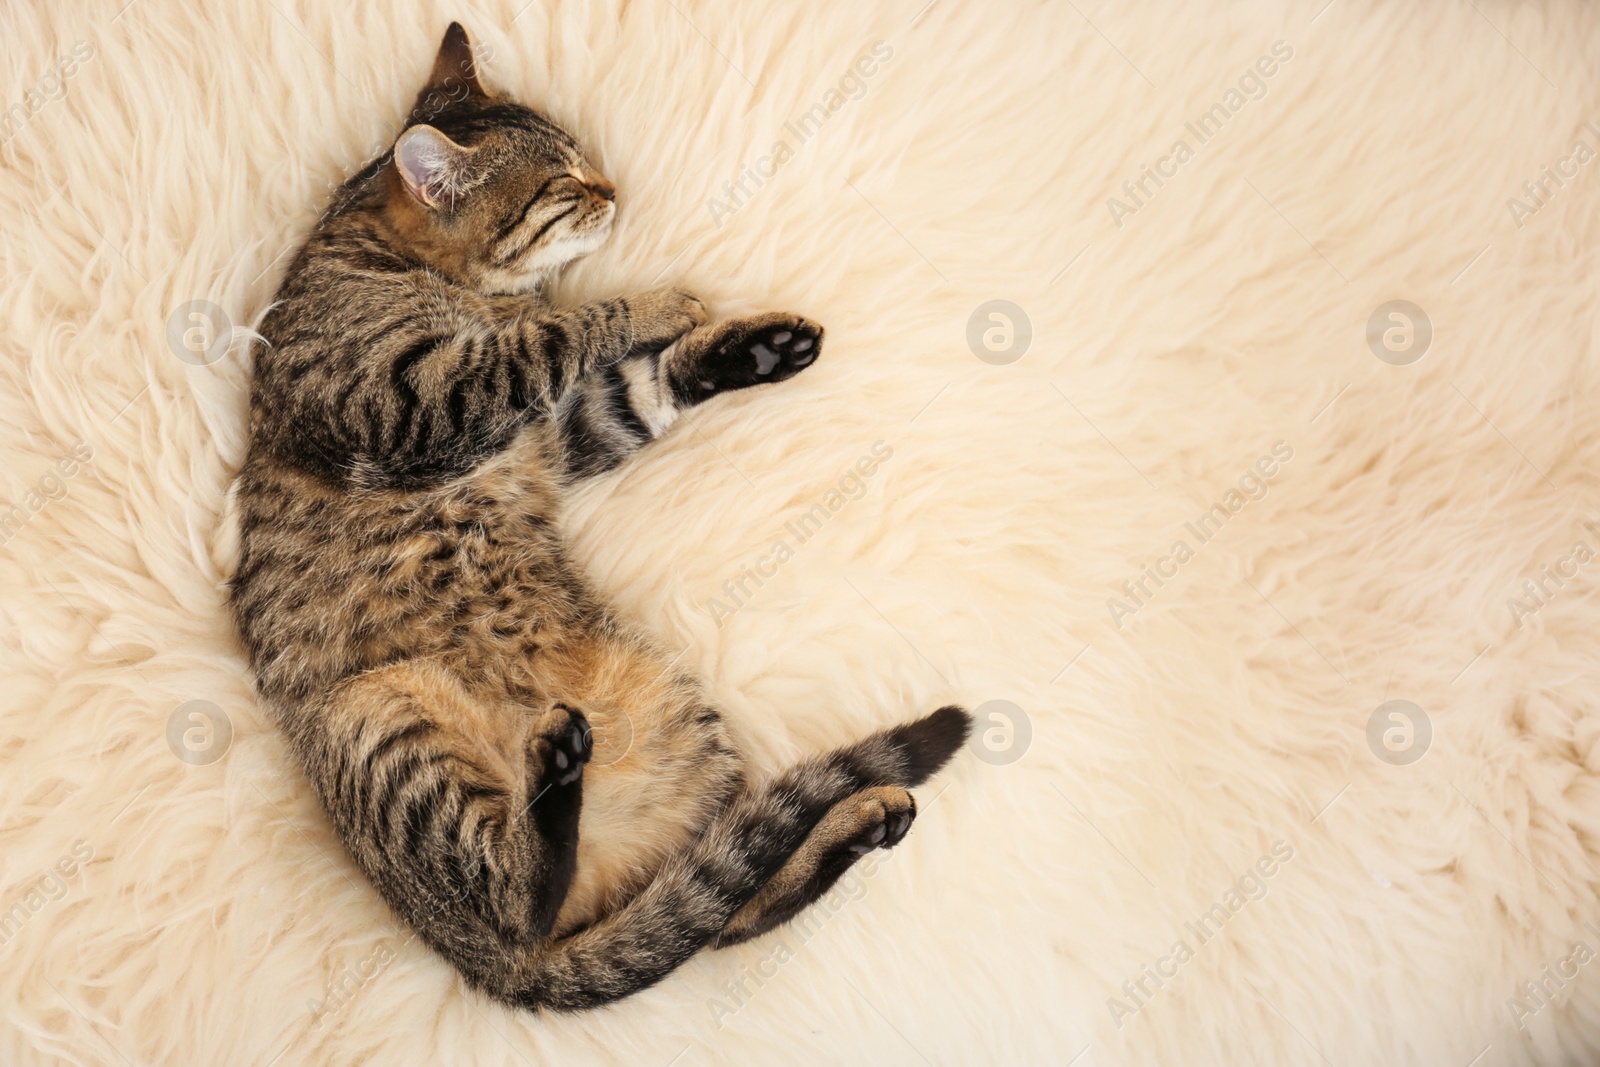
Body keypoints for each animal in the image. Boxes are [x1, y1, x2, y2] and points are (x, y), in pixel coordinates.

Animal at [230, 22, 966, 1011]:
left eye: (585, 162)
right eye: (564, 183)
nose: (613, 187)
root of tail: (499, 974)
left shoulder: (560, 435)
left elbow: (637, 389)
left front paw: (748, 349)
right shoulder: (416, 404)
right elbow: (559, 332)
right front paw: (659, 302)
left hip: (682, 719)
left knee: (720, 906)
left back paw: (858, 818)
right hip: (383, 725)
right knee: (526, 901)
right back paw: (554, 773)